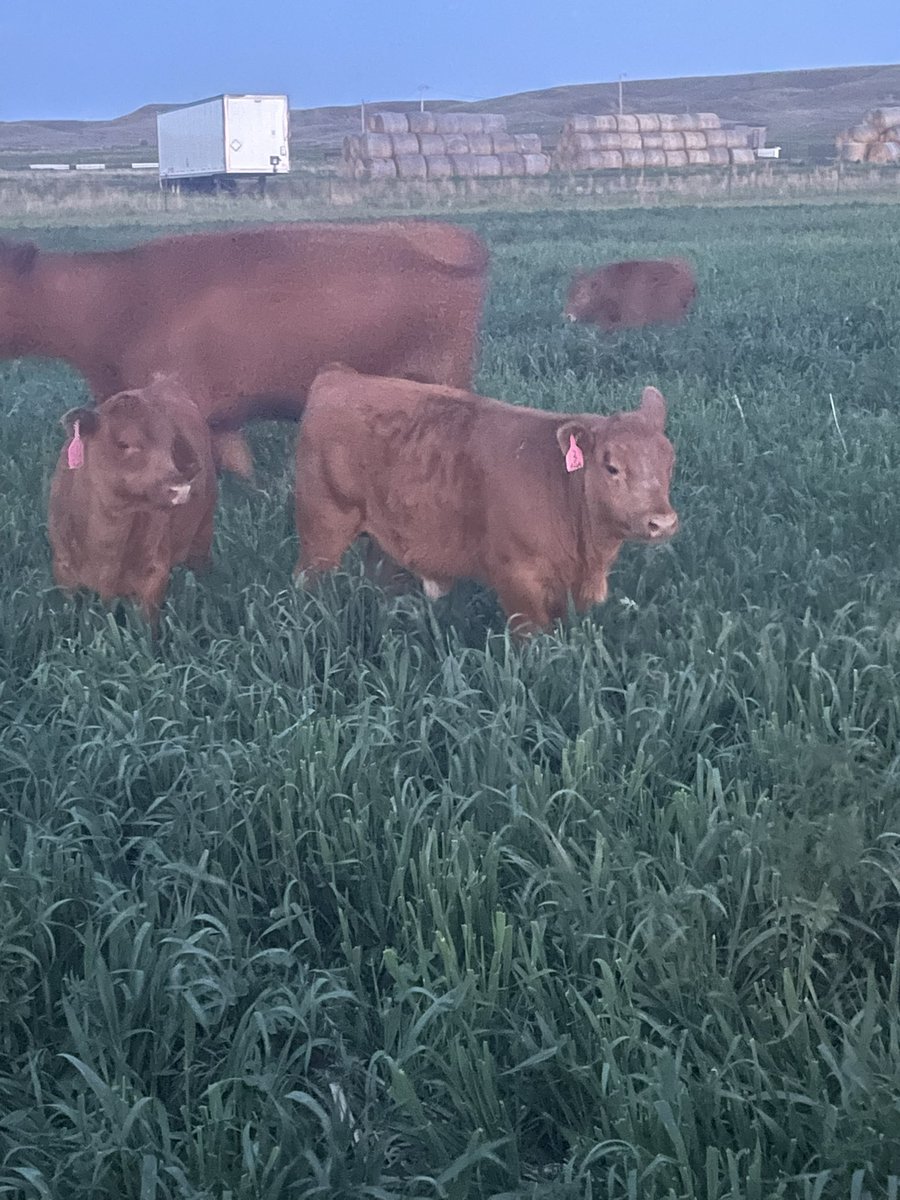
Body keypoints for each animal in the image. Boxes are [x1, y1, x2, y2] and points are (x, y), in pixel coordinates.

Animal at [48, 376, 217, 627]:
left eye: (171, 442)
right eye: (124, 443)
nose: (180, 487)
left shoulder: (154, 575)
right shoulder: (63, 569)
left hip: (203, 532)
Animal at [293, 365, 678, 636]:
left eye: (669, 460)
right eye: (612, 467)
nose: (662, 523)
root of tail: (337, 375)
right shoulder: (519, 581)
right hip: (323, 525)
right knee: (307, 581)